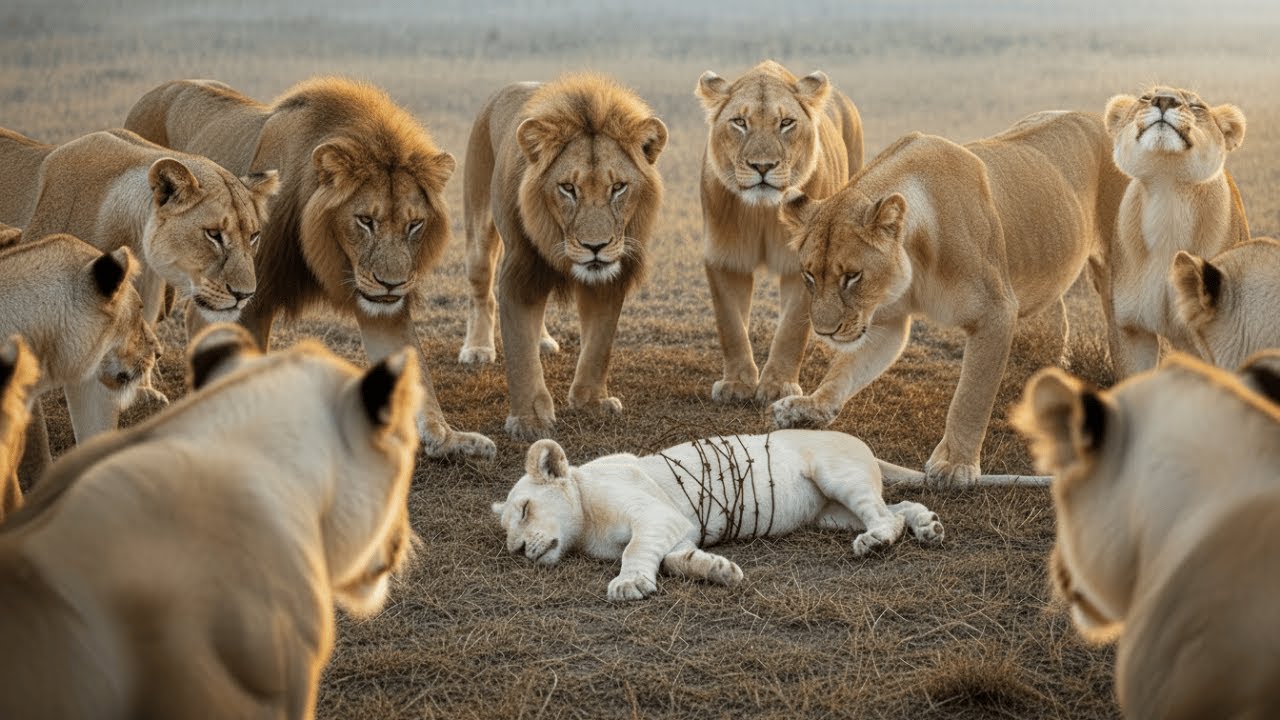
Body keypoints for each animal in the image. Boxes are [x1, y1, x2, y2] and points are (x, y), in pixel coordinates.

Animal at [124, 76, 494, 459]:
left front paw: (448, 438)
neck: (325, 249)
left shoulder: (382, 307)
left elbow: (416, 366)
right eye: (365, 221)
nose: (391, 284)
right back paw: (145, 392)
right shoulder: (251, 299)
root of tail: (155, 91)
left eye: (414, 224)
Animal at [459, 74, 668, 440]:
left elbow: (599, 345)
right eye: (568, 188)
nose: (595, 246)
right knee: (481, 291)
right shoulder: (520, 271)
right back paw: (478, 349)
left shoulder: (608, 280)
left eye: (618, 187)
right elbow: (519, 351)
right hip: (479, 224)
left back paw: (542, 341)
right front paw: (529, 420)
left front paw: (591, 401)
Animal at [494, 430, 1048, 601]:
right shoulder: (677, 532)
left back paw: (877, 545)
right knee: (897, 506)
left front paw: (629, 584)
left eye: (525, 509)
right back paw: (929, 528)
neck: (585, 521)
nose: (517, 551)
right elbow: (673, 560)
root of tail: (860, 441)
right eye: (507, 532)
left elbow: (634, 551)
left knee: (885, 519)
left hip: (838, 477)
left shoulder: (656, 520)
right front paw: (717, 570)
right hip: (833, 512)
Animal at [695, 60, 864, 404]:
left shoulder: (806, 263)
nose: (763, 166)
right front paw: (736, 384)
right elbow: (730, 325)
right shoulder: (724, 258)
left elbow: (791, 330)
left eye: (786, 123)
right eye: (740, 122)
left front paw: (777, 386)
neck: (764, 212)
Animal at [771, 111, 1130, 485]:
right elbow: (844, 371)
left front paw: (955, 464)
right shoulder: (886, 321)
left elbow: (970, 396)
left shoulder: (997, 312)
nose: (824, 332)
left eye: (852, 276)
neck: (915, 260)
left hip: (1114, 274)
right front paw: (808, 407)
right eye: (809, 275)